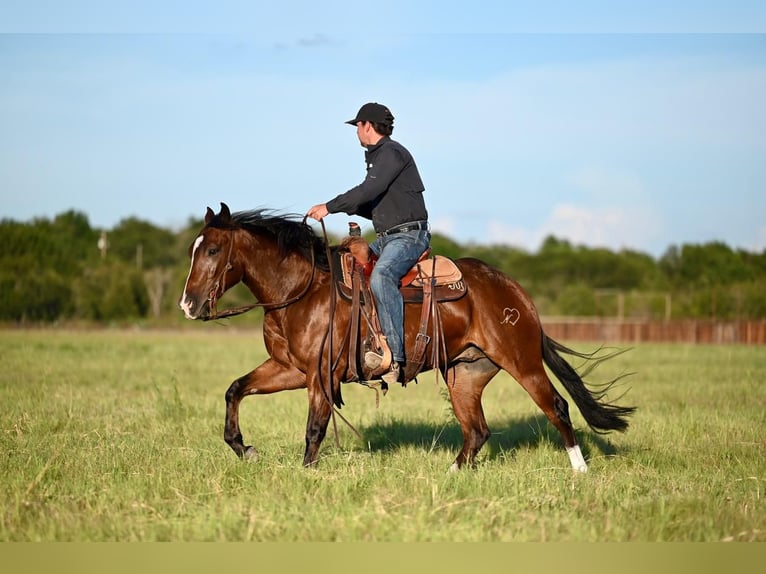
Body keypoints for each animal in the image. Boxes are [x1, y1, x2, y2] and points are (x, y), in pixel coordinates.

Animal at [180, 205, 636, 474]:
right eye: (194, 248)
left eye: (214, 250)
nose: (187, 304)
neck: (301, 290)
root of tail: (515, 292)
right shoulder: (289, 369)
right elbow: (235, 389)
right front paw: (244, 448)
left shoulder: (319, 375)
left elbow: (314, 429)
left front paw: (306, 474)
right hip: (465, 374)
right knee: (477, 431)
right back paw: (451, 476)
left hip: (522, 362)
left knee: (556, 407)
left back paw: (580, 471)